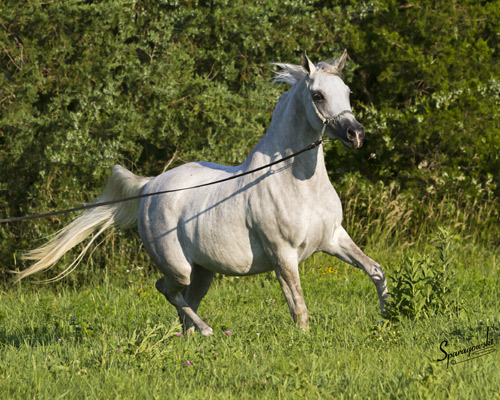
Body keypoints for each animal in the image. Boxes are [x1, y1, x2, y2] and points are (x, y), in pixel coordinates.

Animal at [15, 51, 388, 336]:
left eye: (347, 92)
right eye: (318, 96)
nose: (356, 134)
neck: (296, 183)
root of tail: (149, 186)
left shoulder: (333, 238)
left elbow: (374, 270)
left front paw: (387, 315)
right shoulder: (283, 255)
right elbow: (298, 305)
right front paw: (304, 339)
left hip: (203, 271)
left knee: (185, 303)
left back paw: (194, 336)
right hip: (178, 267)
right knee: (166, 290)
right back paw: (207, 330)